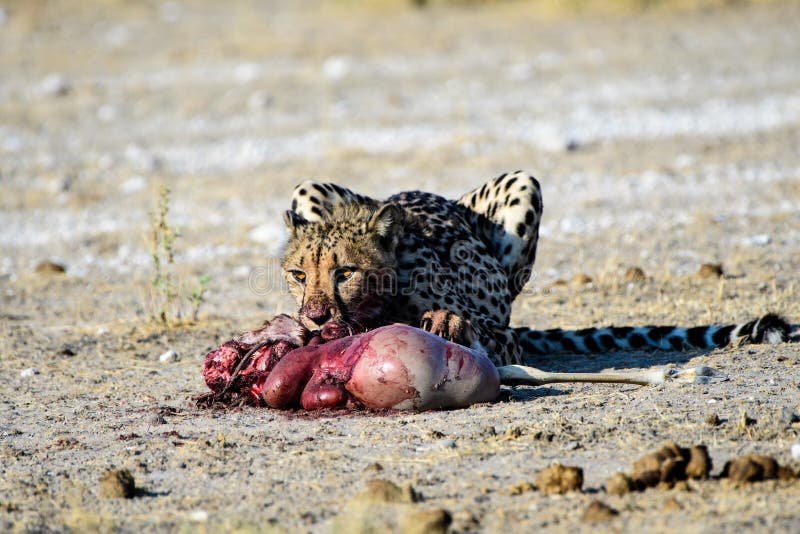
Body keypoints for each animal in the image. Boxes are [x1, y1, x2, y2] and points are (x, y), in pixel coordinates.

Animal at [280, 172, 788, 368]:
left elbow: (481, 330)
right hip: (309, 188)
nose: (316, 317)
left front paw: (449, 323)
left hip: (524, 184)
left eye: (345, 272)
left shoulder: (506, 338)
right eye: (299, 275)